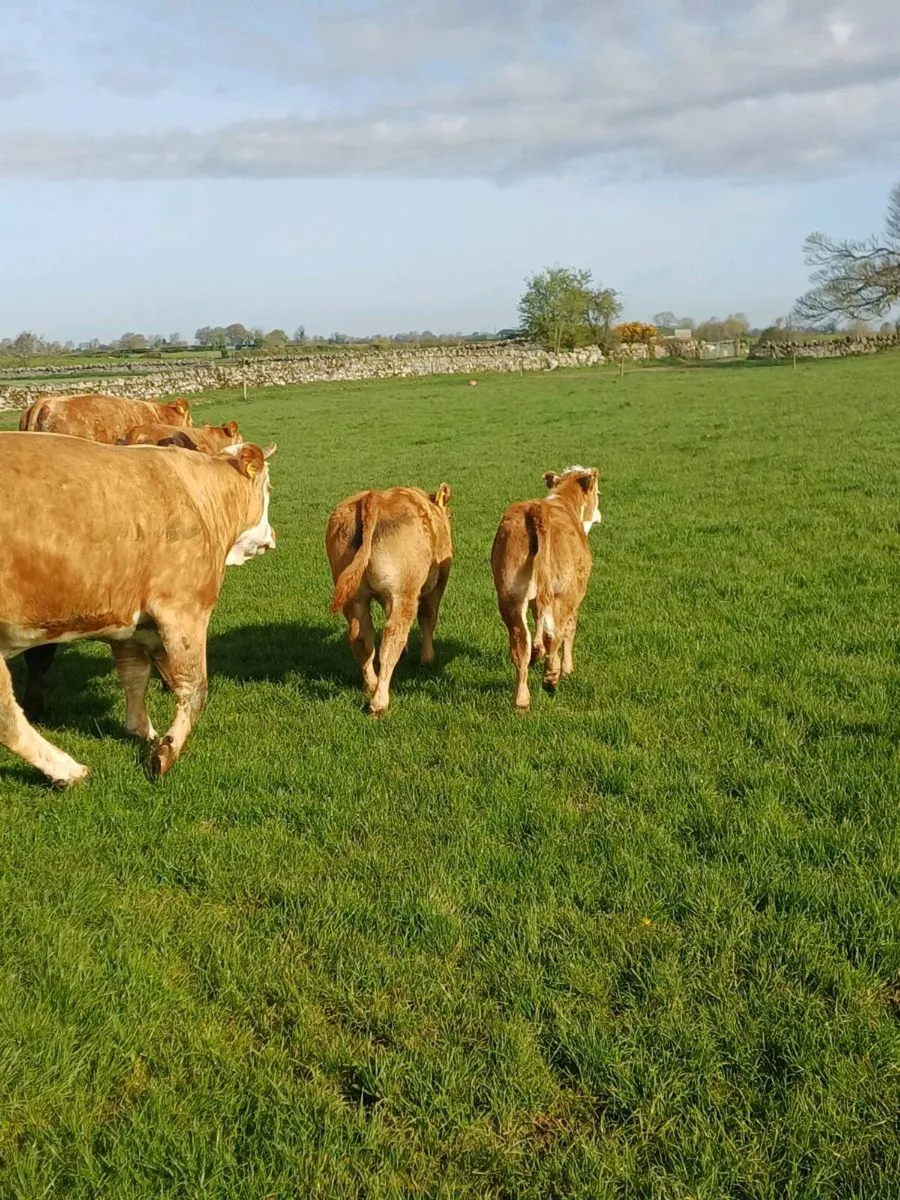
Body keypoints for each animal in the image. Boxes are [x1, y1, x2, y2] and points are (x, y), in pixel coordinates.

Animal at [0, 433, 276, 786]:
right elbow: (195, 688)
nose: (272, 537)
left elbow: (134, 676)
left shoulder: (130, 625)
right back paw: (66, 769)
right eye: (268, 489)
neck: (199, 498)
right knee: (7, 716)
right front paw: (166, 752)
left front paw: (142, 730)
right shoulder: (184, 609)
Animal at [326, 484, 453, 715]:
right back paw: (379, 702)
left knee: (361, 637)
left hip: (354, 597)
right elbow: (428, 619)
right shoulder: (437, 585)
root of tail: (373, 498)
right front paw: (427, 659)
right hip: (404, 593)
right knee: (392, 637)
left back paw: (371, 685)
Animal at [491, 466, 601, 710]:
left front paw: (537, 653)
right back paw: (551, 678)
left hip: (510, 596)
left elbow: (538, 624)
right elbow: (569, 629)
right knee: (554, 634)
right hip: (562, 594)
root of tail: (535, 510)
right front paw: (567, 669)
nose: (599, 515)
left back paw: (522, 700)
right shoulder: (575, 598)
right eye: (598, 493)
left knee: (520, 645)